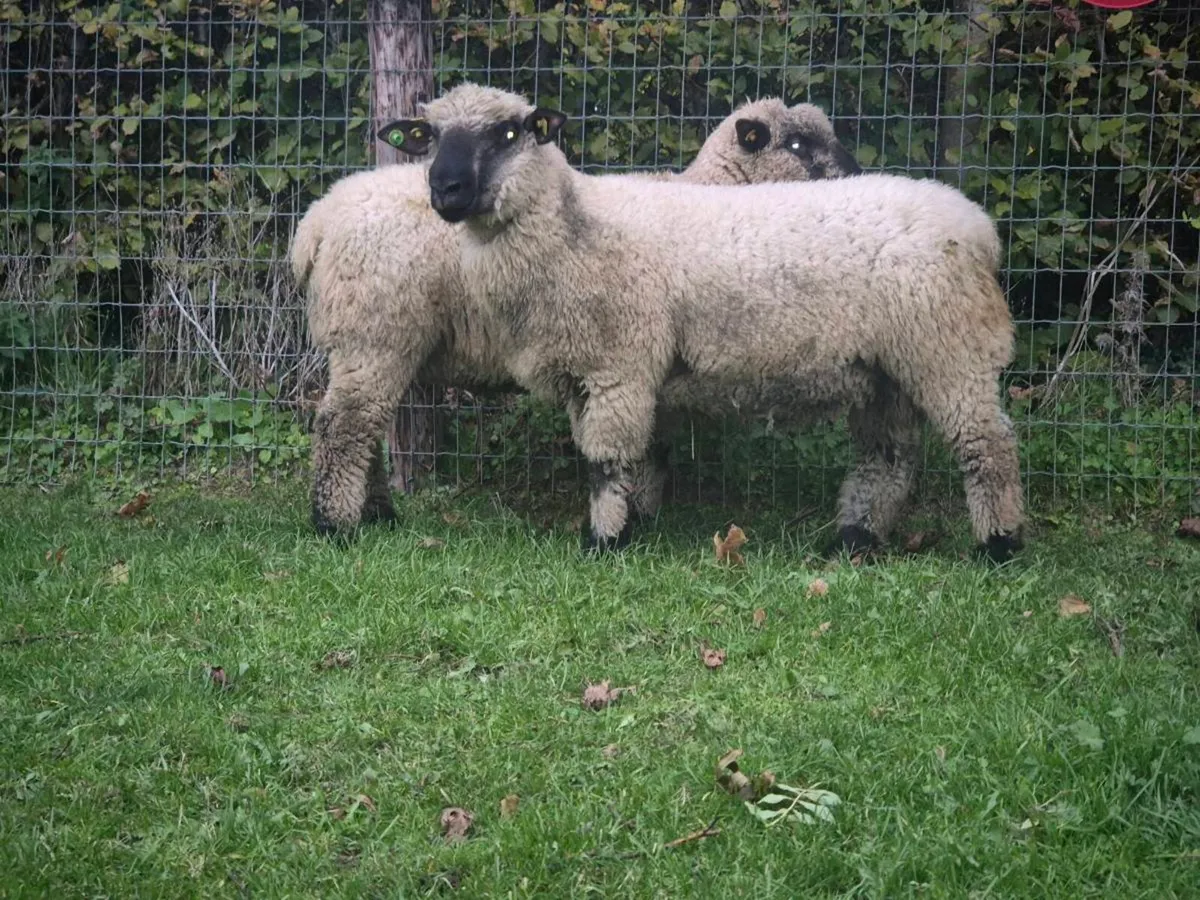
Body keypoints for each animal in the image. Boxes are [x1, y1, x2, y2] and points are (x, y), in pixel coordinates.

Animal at [292, 98, 861, 536]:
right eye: (795, 145)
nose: (855, 174)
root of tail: (318, 219)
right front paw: (632, 517)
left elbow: (653, 447)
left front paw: (640, 513)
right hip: (373, 333)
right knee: (343, 425)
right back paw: (337, 525)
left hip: (376, 343)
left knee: (364, 426)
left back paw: (377, 514)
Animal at [386, 83, 1025, 562]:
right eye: (430, 138)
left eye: (508, 133)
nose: (444, 189)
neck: (575, 228)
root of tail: (977, 226)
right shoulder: (591, 373)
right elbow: (634, 458)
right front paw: (631, 527)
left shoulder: (618, 366)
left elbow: (605, 462)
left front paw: (604, 542)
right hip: (886, 369)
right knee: (889, 458)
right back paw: (854, 540)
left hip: (948, 348)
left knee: (987, 447)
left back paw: (998, 547)